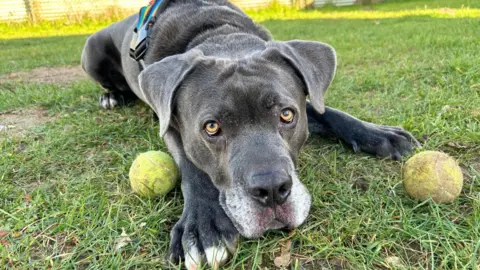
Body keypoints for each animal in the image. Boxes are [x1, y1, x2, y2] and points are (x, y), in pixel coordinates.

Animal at [82, 0, 420, 266]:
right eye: (211, 127)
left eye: (287, 115)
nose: (271, 190)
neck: (221, 37)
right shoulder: (171, 125)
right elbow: (192, 167)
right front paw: (203, 226)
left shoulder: (303, 98)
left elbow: (329, 112)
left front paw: (380, 134)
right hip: (91, 52)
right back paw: (112, 96)